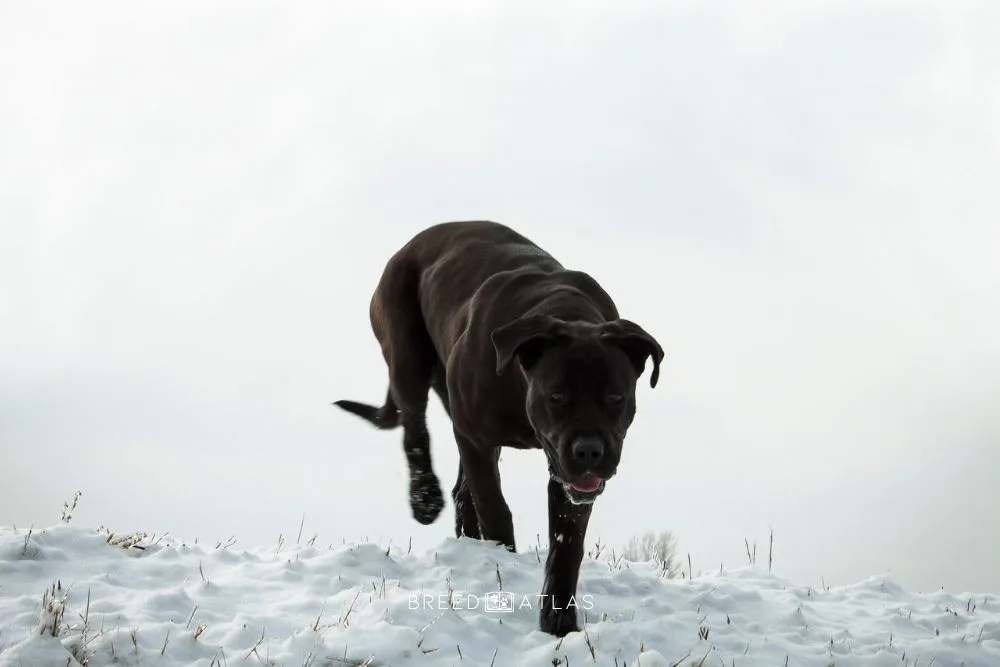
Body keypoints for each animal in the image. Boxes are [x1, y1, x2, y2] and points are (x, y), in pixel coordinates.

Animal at [334, 220, 664, 636]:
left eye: (616, 397)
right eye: (557, 396)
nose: (590, 450)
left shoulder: (564, 475)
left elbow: (567, 542)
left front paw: (559, 621)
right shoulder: (476, 436)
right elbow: (493, 506)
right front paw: (502, 569)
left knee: (461, 486)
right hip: (407, 355)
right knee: (415, 431)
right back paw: (425, 498)